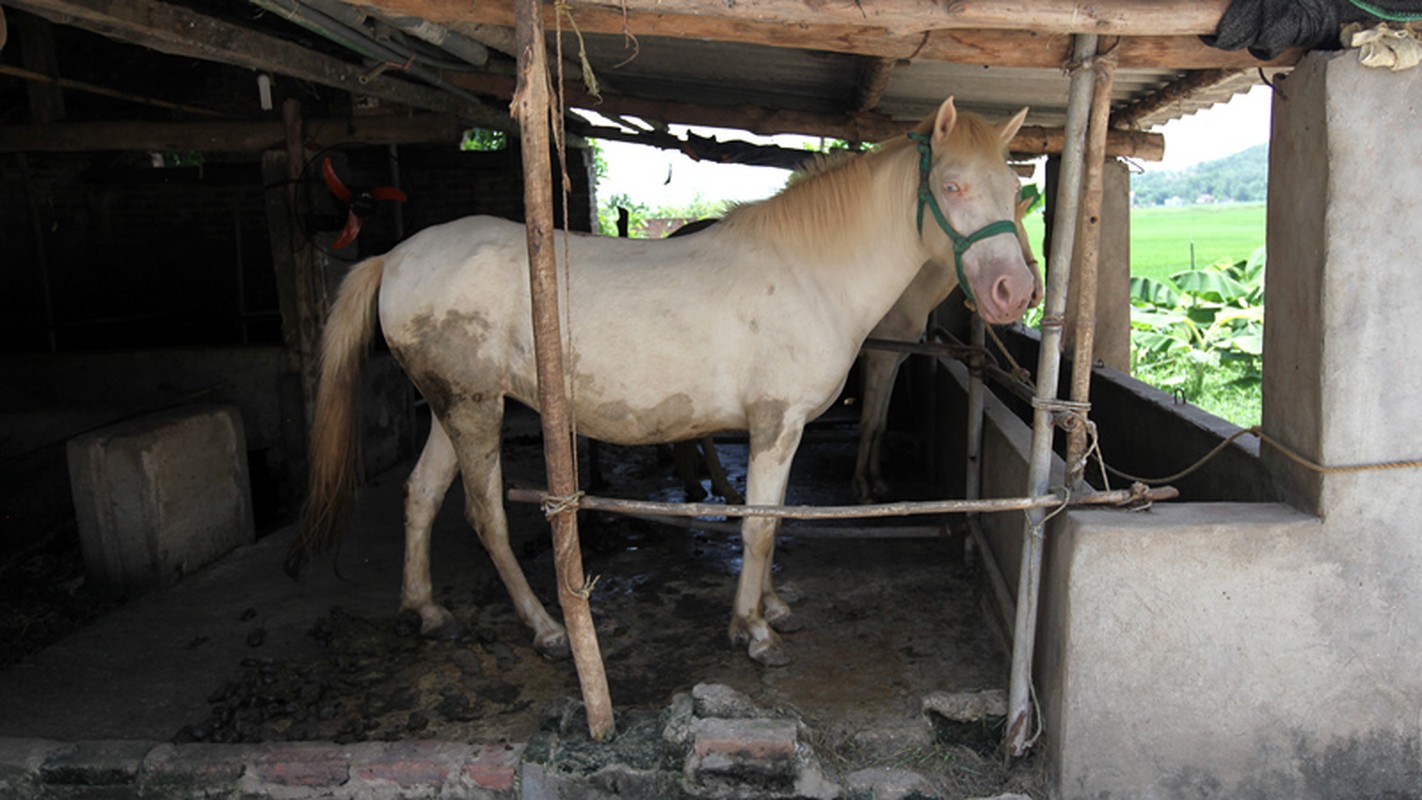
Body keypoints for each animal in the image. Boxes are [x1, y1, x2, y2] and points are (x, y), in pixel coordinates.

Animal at [288, 97, 1040, 667]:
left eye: (1014, 192)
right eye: (953, 187)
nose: (1014, 292)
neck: (809, 269)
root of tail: (396, 257)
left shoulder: (783, 431)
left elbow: (773, 518)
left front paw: (769, 607)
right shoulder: (775, 424)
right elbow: (759, 527)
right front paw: (753, 631)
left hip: (457, 406)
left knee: (419, 497)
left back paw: (426, 610)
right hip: (475, 411)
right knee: (485, 517)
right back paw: (548, 628)